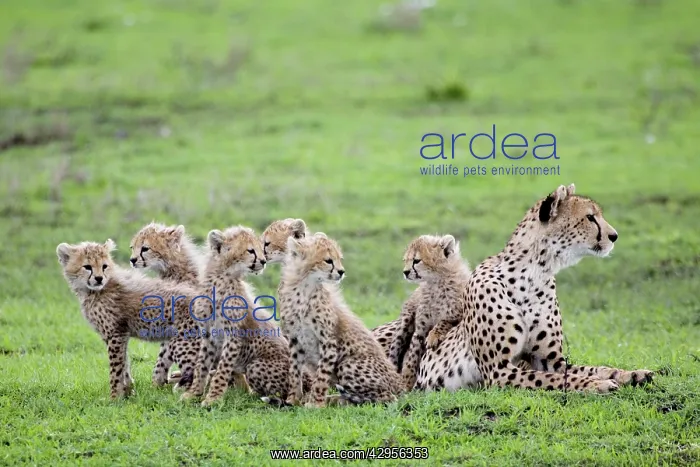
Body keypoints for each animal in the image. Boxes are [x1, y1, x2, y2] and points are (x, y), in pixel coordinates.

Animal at [56, 239, 201, 398]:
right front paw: (127, 390)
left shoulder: (115, 334)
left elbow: (115, 368)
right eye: (87, 267)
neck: (93, 291)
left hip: (183, 342)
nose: (99, 278)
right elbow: (124, 363)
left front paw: (114, 397)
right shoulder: (120, 335)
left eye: (104, 266)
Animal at [180, 226, 292, 407]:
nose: (263, 261)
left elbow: (222, 370)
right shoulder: (209, 334)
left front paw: (212, 399)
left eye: (261, 249)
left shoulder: (233, 337)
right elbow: (201, 364)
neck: (221, 279)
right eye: (250, 250)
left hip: (256, 365)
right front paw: (193, 393)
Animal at [278, 232, 403, 407]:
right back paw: (335, 399)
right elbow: (295, 372)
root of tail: (401, 384)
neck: (303, 289)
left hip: (348, 364)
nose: (341, 271)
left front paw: (316, 404)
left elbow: (321, 376)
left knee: (387, 397)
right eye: (328, 260)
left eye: (339, 259)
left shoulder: (329, 341)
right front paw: (293, 399)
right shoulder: (295, 339)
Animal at [388, 234, 471, 390]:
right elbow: (412, 357)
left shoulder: (459, 315)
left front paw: (434, 336)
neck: (436, 283)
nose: (405, 272)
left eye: (416, 260)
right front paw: (407, 381)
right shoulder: (420, 329)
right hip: (404, 323)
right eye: (406, 260)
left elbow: (444, 320)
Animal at [416, 184, 653, 393]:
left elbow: (590, 369)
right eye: (590, 217)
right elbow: (556, 379)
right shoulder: (498, 370)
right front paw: (597, 384)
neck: (534, 273)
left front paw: (631, 374)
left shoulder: (550, 360)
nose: (614, 236)